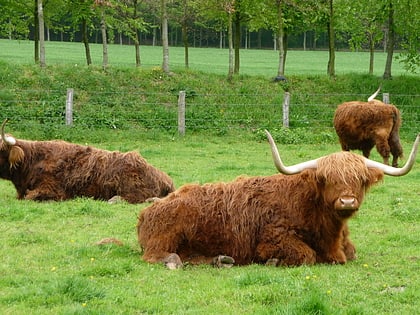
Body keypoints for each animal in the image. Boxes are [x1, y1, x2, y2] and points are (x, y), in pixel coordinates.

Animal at [136, 131, 418, 270]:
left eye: (360, 179)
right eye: (327, 178)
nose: (347, 201)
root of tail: (149, 210)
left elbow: (351, 253)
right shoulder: (273, 239)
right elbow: (306, 255)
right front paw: (274, 262)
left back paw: (221, 260)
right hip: (165, 238)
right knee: (158, 256)